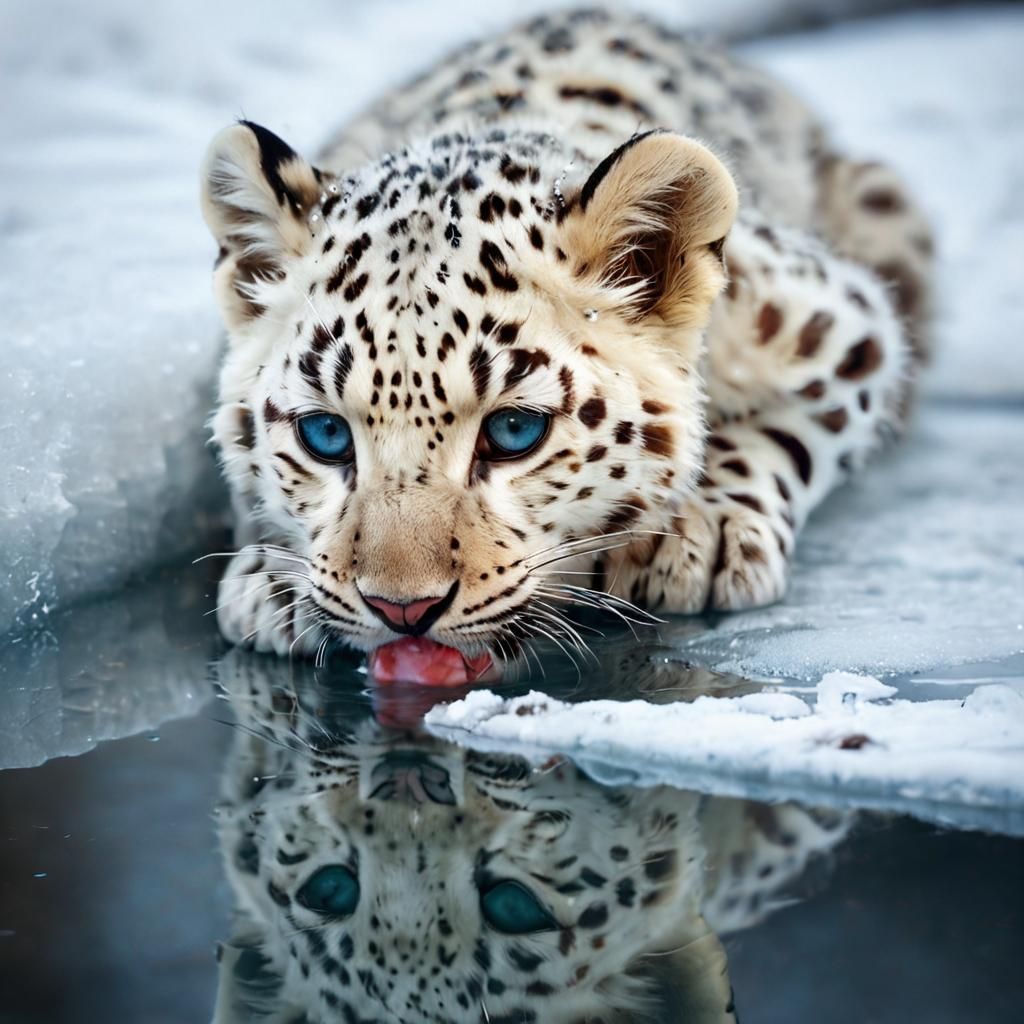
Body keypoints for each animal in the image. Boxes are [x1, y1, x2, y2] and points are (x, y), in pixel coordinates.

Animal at [201, 7, 933, 668]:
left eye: (515, 430)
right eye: (324, 434)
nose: (402, 609)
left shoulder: (838, 321)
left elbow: (792, 428)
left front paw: (703, 530)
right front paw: (276, 579)